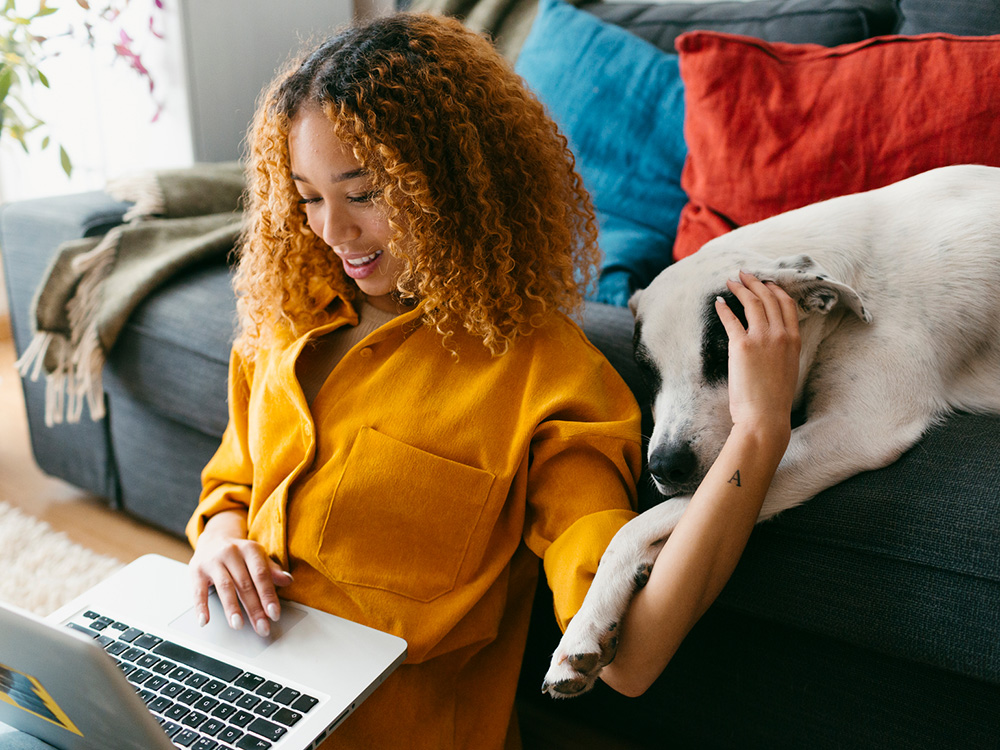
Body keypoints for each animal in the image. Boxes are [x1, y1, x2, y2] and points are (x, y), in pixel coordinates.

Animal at [544, 164, 1000, 700]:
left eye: (725, 357)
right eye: (647, 372)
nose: (664, 466)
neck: (859, 274)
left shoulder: (855, 429)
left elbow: (632, 527)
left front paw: (583, 627)